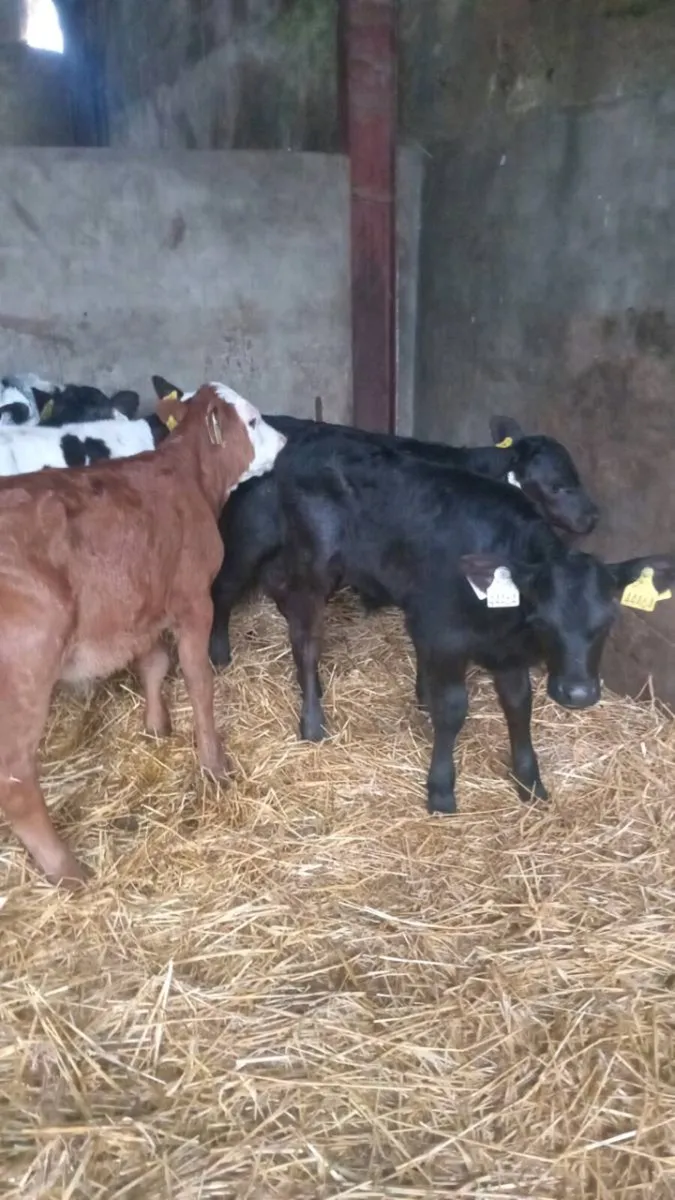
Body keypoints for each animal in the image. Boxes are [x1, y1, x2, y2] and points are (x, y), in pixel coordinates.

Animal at [0, 383, 286, 886]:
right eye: (252, 421)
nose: (286, 441)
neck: (188, 478)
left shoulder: (142, 603)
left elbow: (154, 663)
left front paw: (156, 727)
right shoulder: (194, 600)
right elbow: (198, 679)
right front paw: (214, 765)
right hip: (25, 674)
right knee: (14, 779)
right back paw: (67, 870)